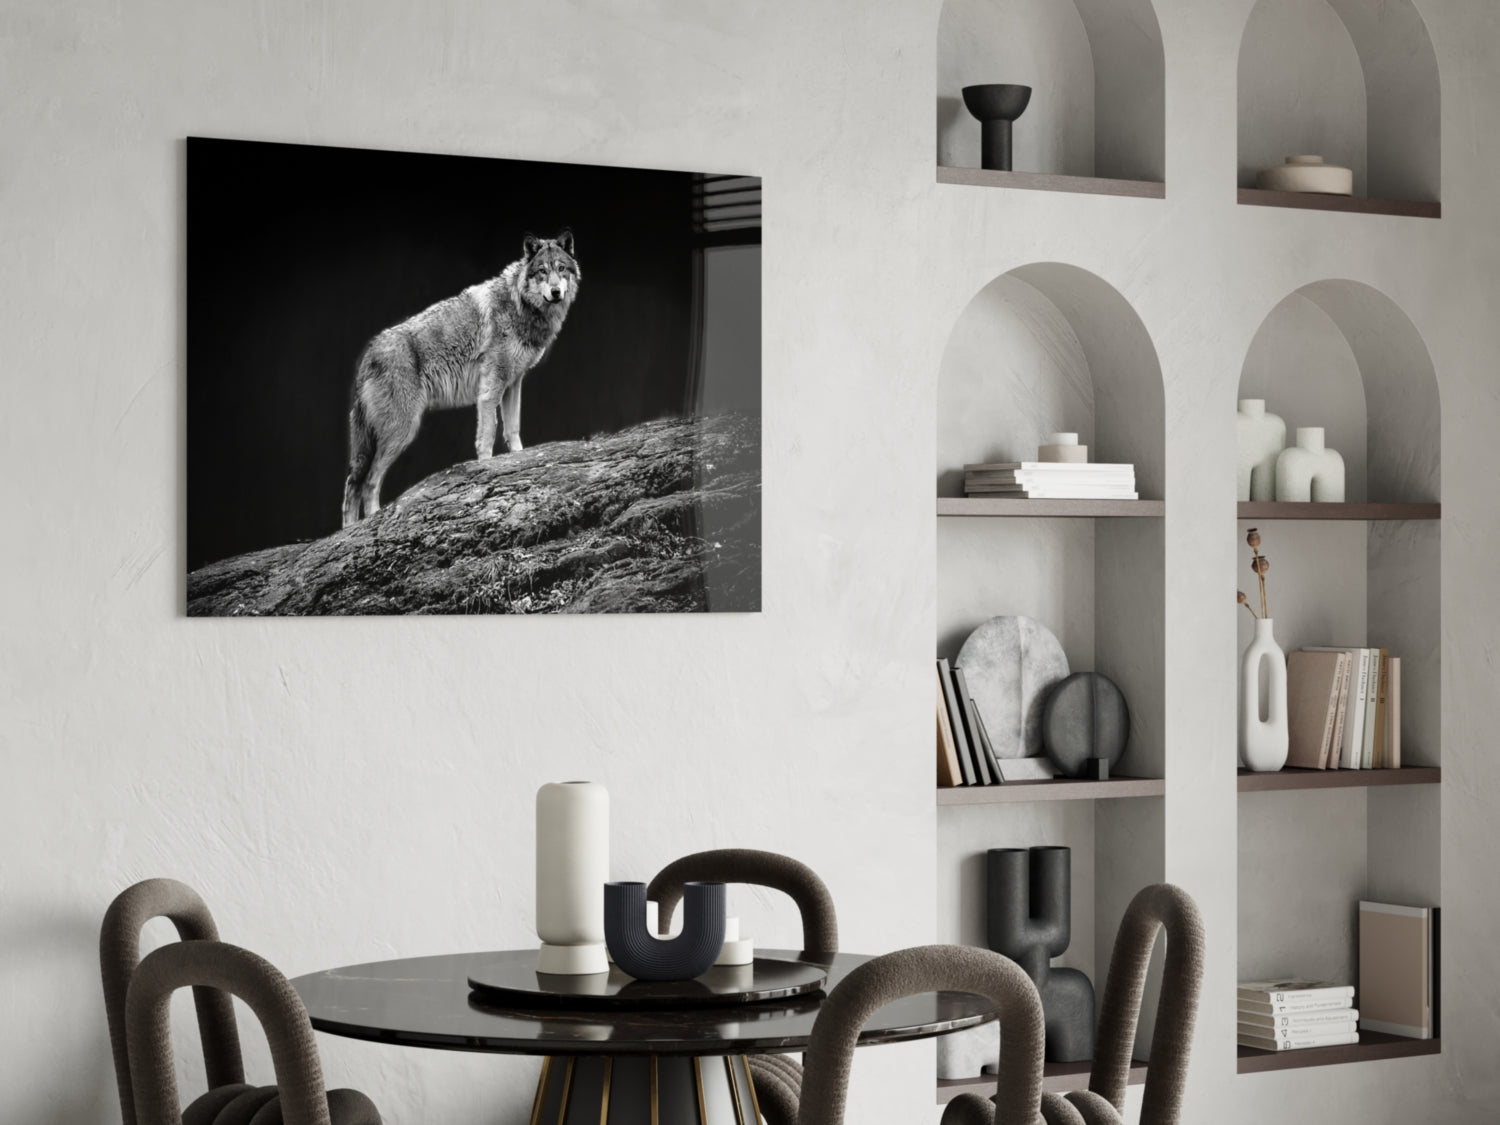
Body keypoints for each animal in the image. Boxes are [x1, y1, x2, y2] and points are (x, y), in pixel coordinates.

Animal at [341, 230, 580, 526]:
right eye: (542, 271)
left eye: (561, 269)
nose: (556, 292)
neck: (519, 304)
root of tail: (367, 354)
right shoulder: (490, 389)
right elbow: (487, 435)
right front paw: (488, 467)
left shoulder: (513, 383)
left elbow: (513, 429)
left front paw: (519, 459)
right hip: (402, 431)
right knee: (368, 482)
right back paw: (370, 521)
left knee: (352, 483)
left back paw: (347, 531)